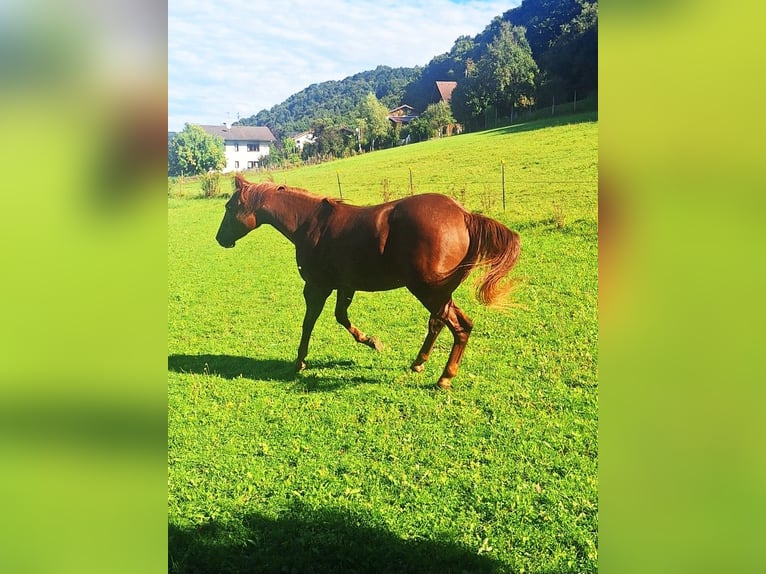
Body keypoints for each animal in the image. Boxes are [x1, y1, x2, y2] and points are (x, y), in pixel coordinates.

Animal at [215, 174, 521, 389]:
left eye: (230, 207)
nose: (219, 239)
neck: (310, 223)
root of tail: (464, 215)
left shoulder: (316, 287)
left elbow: (308, 323)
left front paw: (299, 361)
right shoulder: (345, 286)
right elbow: (341, 317)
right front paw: (373, 342)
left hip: (429, 291)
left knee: (457, 327)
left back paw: (444, 377)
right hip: (438, 292)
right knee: (449, 324)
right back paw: (420, 363)